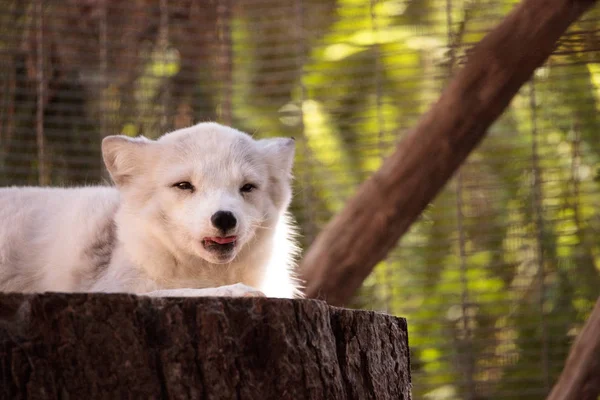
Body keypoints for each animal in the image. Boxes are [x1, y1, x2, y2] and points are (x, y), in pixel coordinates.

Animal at [0, 123, 302, 298]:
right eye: (184, 185)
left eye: (247, 187)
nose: (224, 218)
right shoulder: (112, 288)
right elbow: (180, 292)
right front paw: (238, 291)